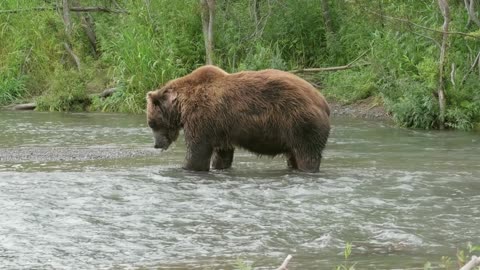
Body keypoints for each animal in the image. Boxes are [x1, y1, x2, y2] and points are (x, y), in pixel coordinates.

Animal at [146, 64, 330, 172]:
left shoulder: (201, 117)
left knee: (307, 154)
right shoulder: (220, 128)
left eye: (152, 123)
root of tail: (323, 101)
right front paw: (219, 166)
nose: (156, 144)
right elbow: (223, 154)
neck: (182, 105)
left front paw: (186, 167)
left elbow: (197, 152)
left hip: (300, 123)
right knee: (293, 156)